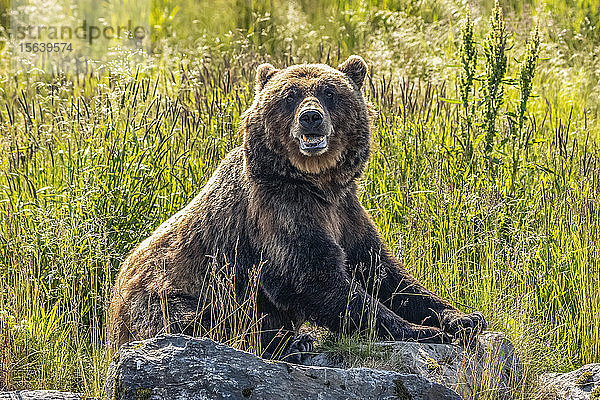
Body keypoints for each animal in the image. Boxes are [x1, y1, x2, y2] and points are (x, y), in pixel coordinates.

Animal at [109, 54, 488, 358]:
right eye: (290, 96)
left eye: (329, 93)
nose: (310, 117)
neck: (317, 181)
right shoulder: (280, 210)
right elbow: (314, 276)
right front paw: (423, 331)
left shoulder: (345, 211)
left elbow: (385, 272)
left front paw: (463, 318)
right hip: (171, 295)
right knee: (198, 321)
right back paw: (293, 342)